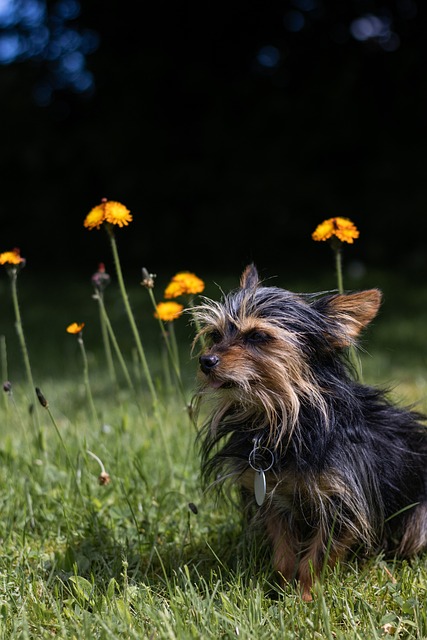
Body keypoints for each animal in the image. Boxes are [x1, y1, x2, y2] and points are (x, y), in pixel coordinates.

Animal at [192, 264, 427, 600]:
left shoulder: (342, 505)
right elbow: (283, 556)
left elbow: (314, 560)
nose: (205, 360)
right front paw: (279, 593)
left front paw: (305, 598)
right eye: (214, 335)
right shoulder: (273, 499)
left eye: (258, 336)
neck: (285, 420)